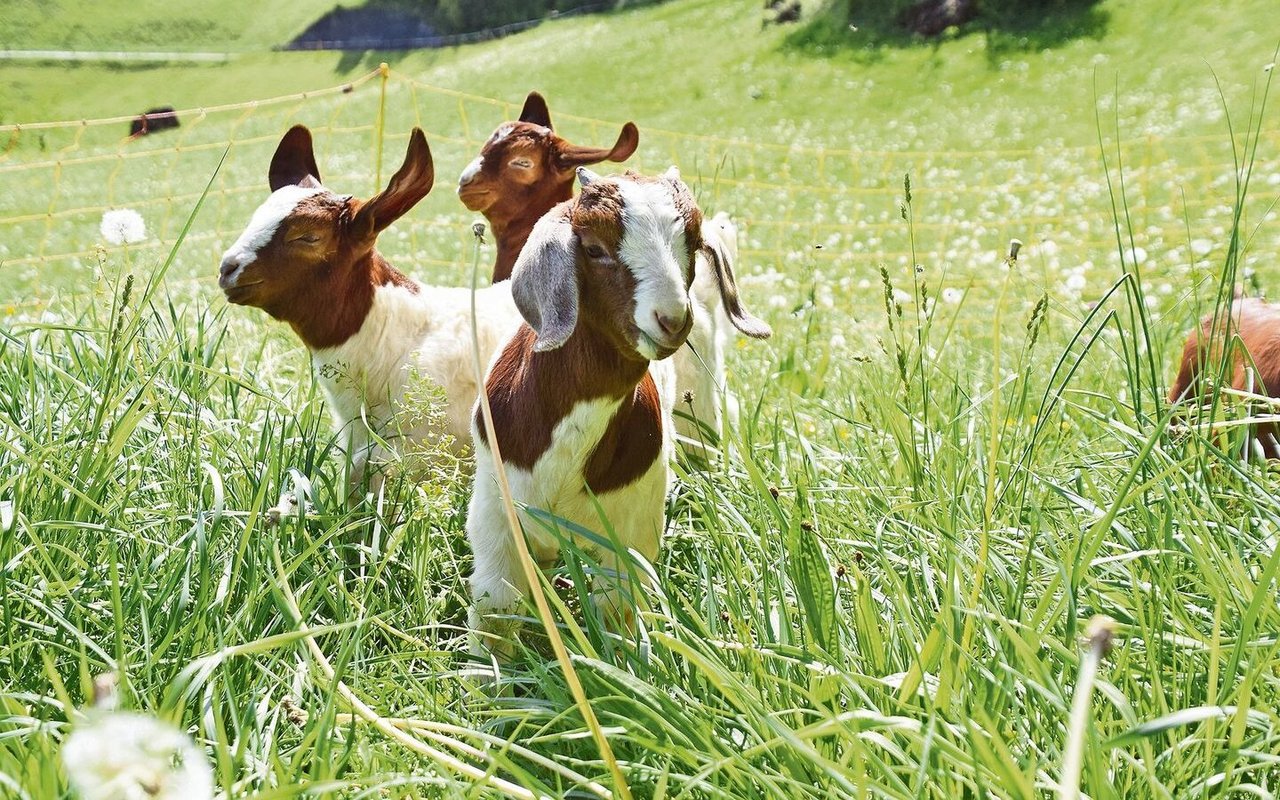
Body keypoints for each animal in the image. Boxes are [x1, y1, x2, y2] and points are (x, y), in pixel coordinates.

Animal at [471, 163, 768, 655]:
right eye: (593, 248)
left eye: (691, 244)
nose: (672, 320)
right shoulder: (495, 511)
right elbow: (496, 607)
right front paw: (488, 676)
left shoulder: (631, 530)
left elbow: (616, 612)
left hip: (702, 417)